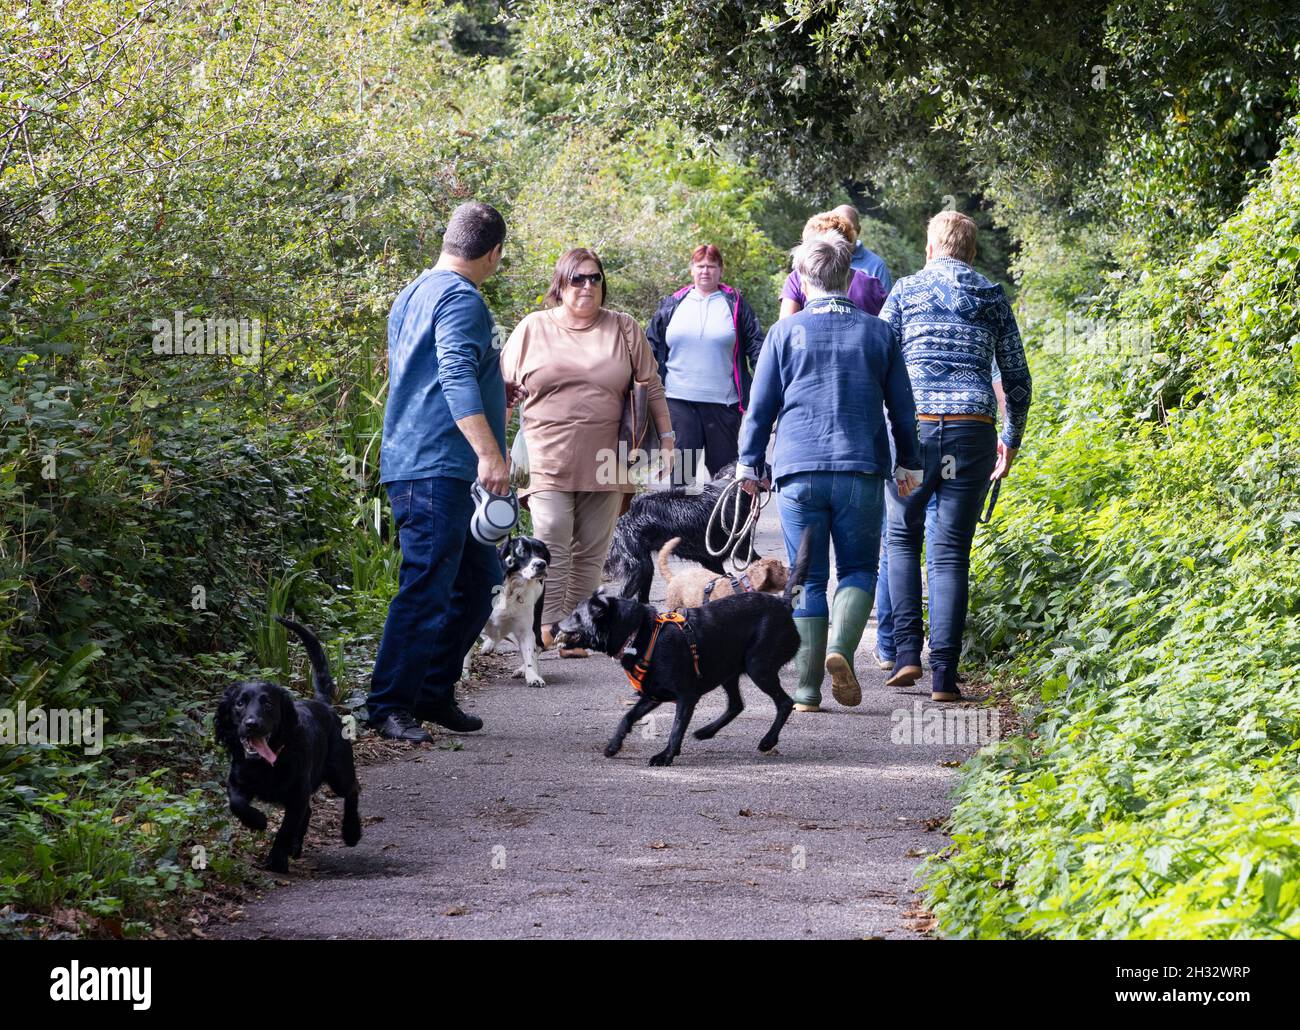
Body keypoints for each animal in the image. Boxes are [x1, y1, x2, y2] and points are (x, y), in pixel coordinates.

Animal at [215, 616, 361, 873]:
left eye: (269, 705)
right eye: (239, 703)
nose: (252, 724)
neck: (265, 764)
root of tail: (323, 704)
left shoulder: (296, 795)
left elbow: (285, 829)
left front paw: (276, 861)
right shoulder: (238, 781)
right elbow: (237, 803)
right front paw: (258, 821)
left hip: (338, 772)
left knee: (352, 789)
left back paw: (351, 831)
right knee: (311, 810)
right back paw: (296, 846)